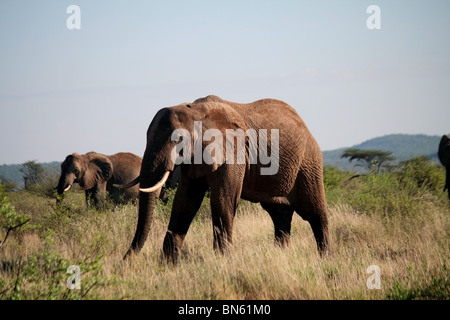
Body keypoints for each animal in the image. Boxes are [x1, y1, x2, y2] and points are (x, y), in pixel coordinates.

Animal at [119, 93, 330, 262]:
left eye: (178, 140)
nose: (124, 261)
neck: (196, 111)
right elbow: (185, 201)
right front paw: (168, 264)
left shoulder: (234, 151)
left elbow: (222, 199)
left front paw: (223, 262)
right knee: (280, 215)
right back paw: (280, 257)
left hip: (308, 162)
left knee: (315, 213)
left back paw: (326, 259)